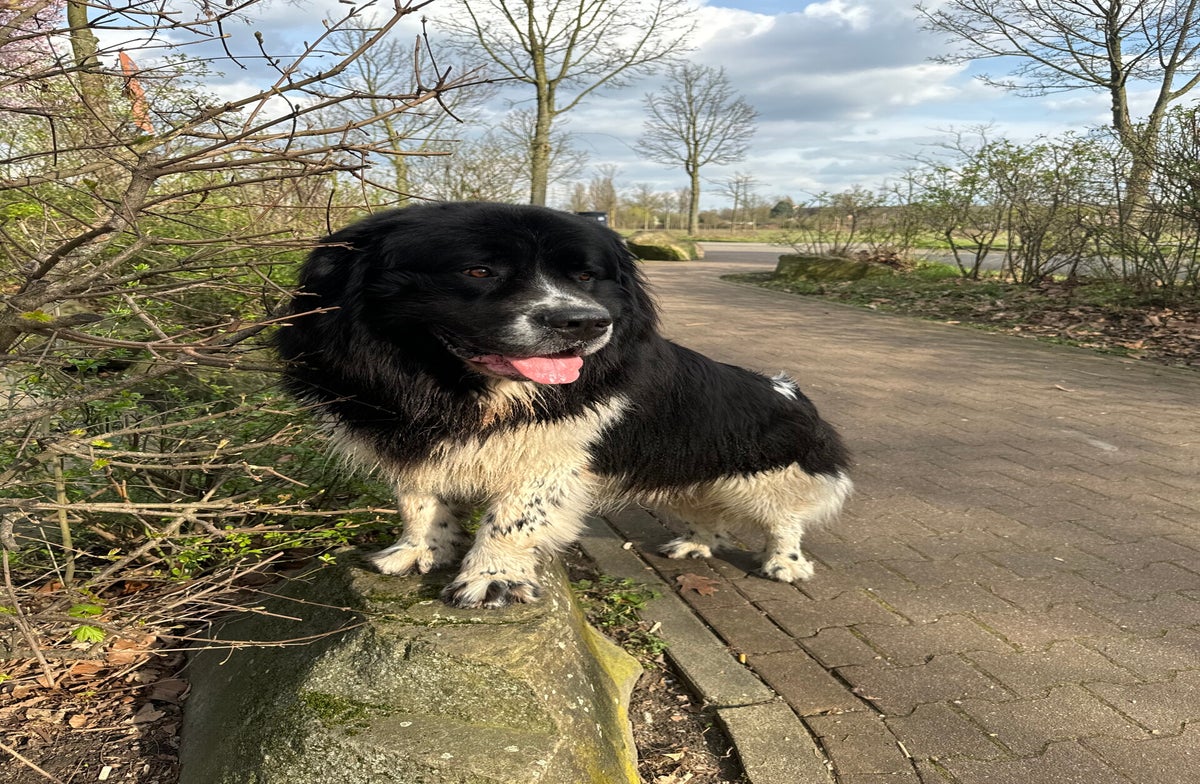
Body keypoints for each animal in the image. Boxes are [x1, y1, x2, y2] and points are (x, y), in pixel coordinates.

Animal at [276, 202, 851, 608]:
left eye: (585, 276)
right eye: (479, 271)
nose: (585, 323)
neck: (463, 390)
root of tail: (788, 389)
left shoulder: (549, 459)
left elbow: (512, 519)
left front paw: (491, 579)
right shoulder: (419, 450)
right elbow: (419, 503)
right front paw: (420, 551)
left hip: (764, 478)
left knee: (783, 520)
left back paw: (785, 563)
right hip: (686, 473)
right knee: (707, 515)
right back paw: (693, 546)